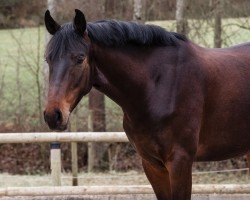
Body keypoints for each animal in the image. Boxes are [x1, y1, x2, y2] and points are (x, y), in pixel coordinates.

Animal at [43, 9, 250, 200]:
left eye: (80, 58)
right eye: (47, 58)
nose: (53, 115)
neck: (158, 85)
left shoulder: (180, 162)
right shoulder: (152, 164)